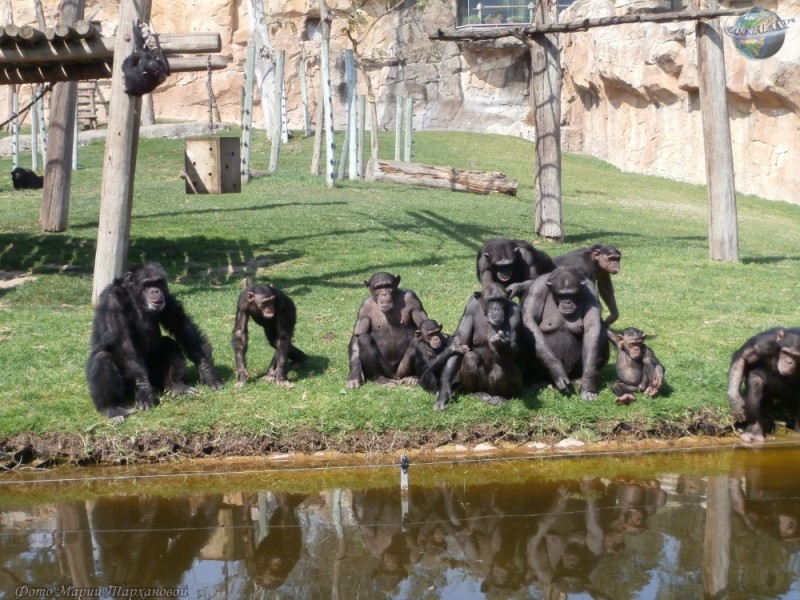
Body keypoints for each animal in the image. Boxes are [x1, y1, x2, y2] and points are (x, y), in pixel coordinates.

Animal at [86, 262, 223, 422]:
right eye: (147, 284)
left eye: (157, 282)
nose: (155, 290)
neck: (134, 297)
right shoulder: (112, 300)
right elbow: (122, 342)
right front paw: (143, 388)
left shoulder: (168, 298)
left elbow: (182, 327)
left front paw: (208, 372)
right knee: (102, 357)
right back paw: (112, 409)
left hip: (157, 379)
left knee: (169, 343)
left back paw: (177, 386)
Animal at [520, 266, 608, 398]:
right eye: (562, 295)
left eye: (572, 294)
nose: (567, 302)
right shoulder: (536, 290)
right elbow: (530, 322)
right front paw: (558, 372)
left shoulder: (591, 292)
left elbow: (592, 328)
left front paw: (588, 386)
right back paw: (535, 381)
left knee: (601, 333)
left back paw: (579, 379)